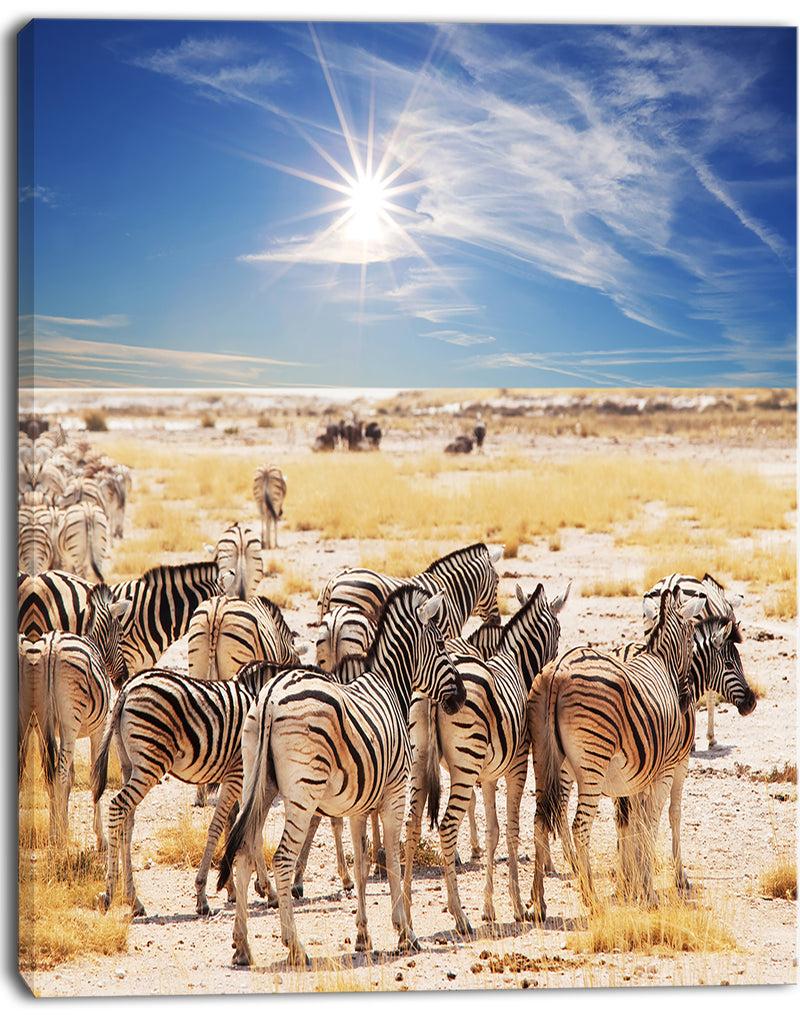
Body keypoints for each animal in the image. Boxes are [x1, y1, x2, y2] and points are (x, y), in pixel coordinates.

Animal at [19, 584, 130, 848]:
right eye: (121, 634)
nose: (123, 678)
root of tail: (51, 648)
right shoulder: (98, 729)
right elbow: (92, 777)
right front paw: (99, 838)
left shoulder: (52, 730)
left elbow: (68, 778)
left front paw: (60, 826)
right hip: (71, 720)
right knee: (57, 772)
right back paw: (60, 840)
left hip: (33, 718)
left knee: (41, 771)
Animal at [93, 660, 285, 918]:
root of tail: (126, 688)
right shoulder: (239, 773)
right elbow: (228, 827)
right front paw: (205, 895)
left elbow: (239, 826)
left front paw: (238, 888)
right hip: (151, 763)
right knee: (117, 807)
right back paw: (110, 893)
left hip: (128, 764)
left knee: (127, 824)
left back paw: (134, 900)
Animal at [217, 585, 466, 968]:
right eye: (440, 644)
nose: (462, 696)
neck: (390, 685)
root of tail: (271, 696)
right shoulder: (395, 792)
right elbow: (393, 860)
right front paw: (405, 932)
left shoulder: (359, 805)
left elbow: (362, 863)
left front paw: (363, 936)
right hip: (303, 792)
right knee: (283, 859)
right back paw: (295, 946)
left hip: (255, 784)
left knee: (243, 852)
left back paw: (243, 946)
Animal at [406, 581, 570, 934]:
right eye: (558, 631)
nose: (552, 669)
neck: (516, 663)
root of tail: (435, 695)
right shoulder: (517, 765)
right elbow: (511, 829)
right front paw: (519, 906)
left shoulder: (491, 774)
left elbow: (494, 831)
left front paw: (489, 907)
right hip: (465, 768)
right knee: (446, 827)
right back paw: (459, 916)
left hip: (419, 762)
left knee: (410, 827)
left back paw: (406, 917)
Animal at [528, 587, 705, 921]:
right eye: (691, 640)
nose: (686, 698)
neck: (660, 661)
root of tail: (558, 671)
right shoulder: (664, 771)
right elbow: (651, 823)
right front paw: (647, 891)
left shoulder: (636, 777)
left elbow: (635, 825)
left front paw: (634, 885)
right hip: (592, 764)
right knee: (579, 826)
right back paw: (591, 900)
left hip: (543, 756)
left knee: (540, 820)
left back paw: (539, 901)